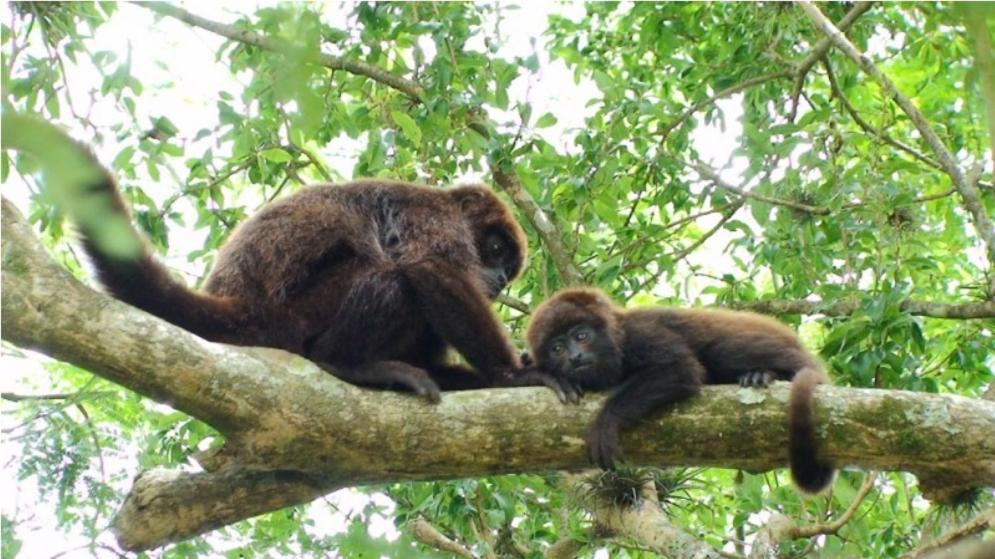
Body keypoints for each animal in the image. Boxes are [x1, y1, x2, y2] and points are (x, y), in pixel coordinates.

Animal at [77, 149, 544, 402]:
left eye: (508, 271)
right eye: (496, 250)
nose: (497, 281)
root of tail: (241, 307)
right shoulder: (433, 217)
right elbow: (429, 269)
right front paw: (511, 375)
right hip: (296, 313)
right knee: (390, 277)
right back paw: (345, 362)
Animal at [524, 288, 836, 494]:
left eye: (581, 336)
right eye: (557, 348)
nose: (575, 357)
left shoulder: (640, 332)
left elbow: (680, 368)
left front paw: (605, 422)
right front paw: (539, 373)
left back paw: (763, 373)